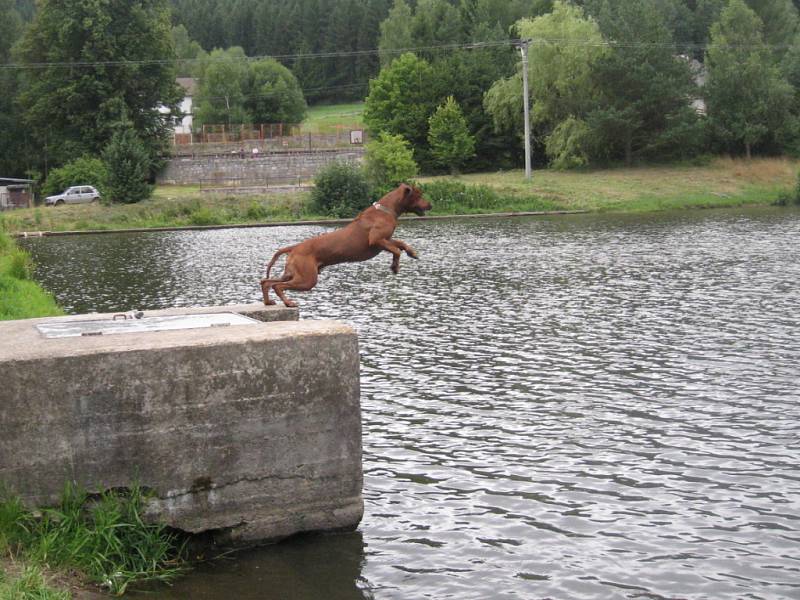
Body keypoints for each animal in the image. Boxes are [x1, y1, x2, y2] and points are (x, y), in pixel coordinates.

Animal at [260, 183, 432, 308]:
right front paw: (395, 266)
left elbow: (400, 244)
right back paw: (288, 303)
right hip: (307, 279)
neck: (385, 210)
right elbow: (396, 251)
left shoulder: (385, 240)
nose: (430, 205)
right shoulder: (376, 240)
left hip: (293, 273)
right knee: (278, 286)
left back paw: (268, 301)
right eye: (420, 195)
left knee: (266, 282)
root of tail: (294, 247)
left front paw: (412, 252)